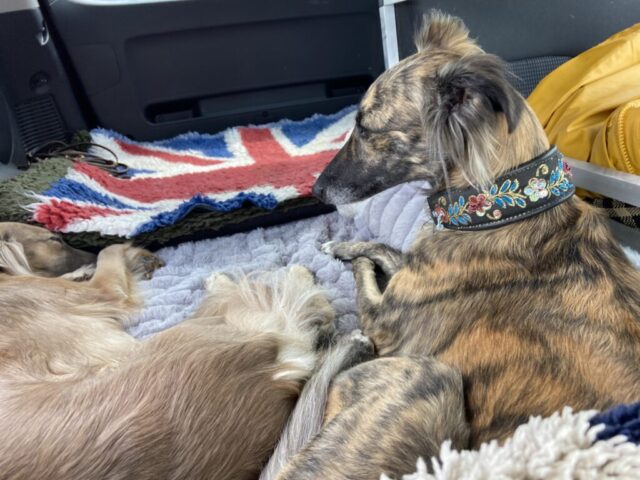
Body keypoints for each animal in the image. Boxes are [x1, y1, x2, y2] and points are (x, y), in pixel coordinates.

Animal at [313, 10, 640, 457]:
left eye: (365, 127)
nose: (316, 190)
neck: (501, 209)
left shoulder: (384, 319)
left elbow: (367, 268)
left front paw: (345, 251)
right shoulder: (414, 269)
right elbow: (383, 247)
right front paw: (343, 244)